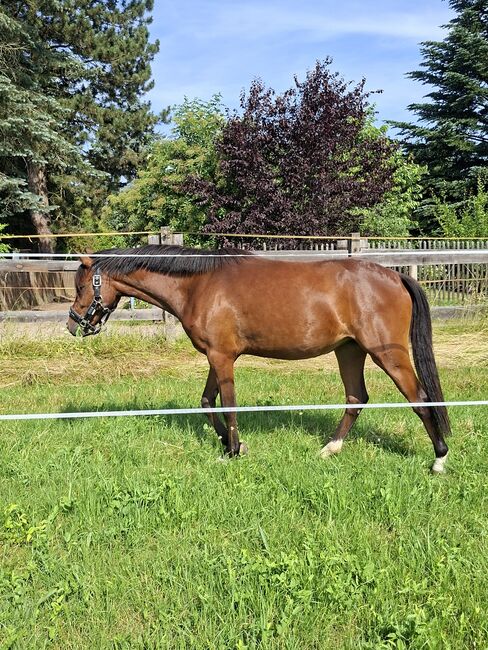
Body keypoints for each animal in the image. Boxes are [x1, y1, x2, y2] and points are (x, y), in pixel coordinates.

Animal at [67, 244, 451, 473]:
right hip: (349, 350)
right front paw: (229, 443)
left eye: (82, 286)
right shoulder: (216, 356)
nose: (73, 324)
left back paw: (439, 458)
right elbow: (207, 402)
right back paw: (330, 449)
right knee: (356, 398)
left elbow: (228, 403)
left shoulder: (222, 357)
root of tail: (395, 275)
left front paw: (234, 450)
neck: (199, 284)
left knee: (419, 398)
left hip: (386, 352)